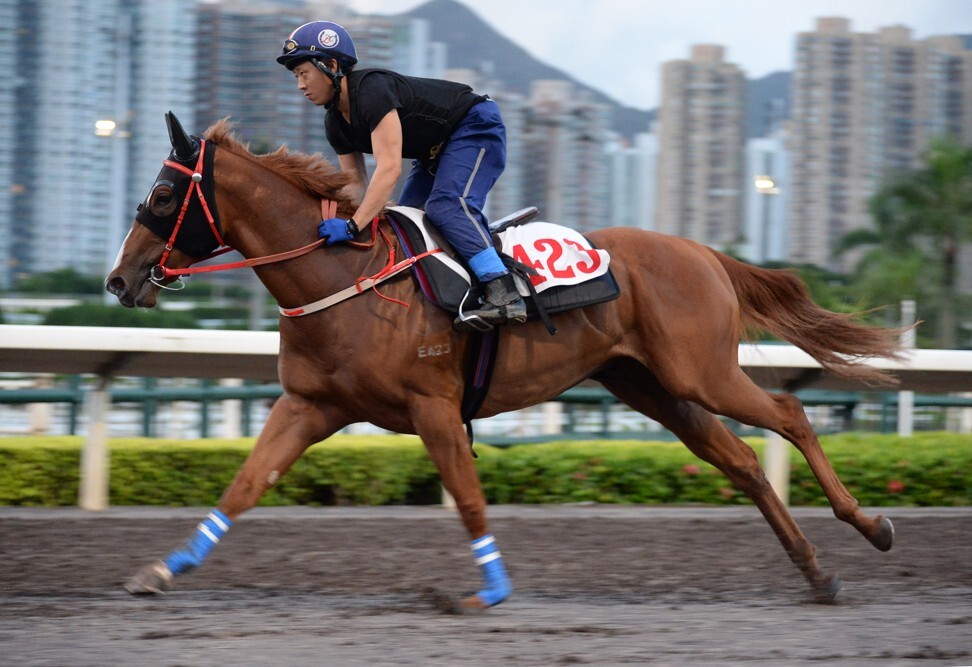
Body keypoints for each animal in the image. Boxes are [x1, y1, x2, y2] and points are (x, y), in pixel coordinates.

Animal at [108, 112, 904, 608]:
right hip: (651, 385)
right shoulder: (311, 405)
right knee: (739, 460)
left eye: (163, 194)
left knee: (790, 412)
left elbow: (467, 497)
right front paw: (160, 570)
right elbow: (244, 485)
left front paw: (485, 591)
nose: (119, 280)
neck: (343, 275)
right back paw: (818, 572)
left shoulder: (432, 406)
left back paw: (870, 526)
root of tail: (703, 252)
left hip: (700, 371)